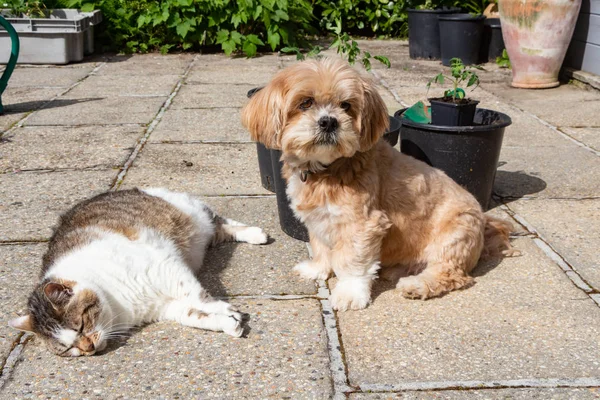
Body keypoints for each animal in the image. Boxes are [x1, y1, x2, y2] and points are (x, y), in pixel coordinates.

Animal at [8, 188, 268, 356]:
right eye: (68, 349)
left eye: (80, 326)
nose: (88, 349)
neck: (116, 304)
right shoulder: (163, 307)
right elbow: (194, 316)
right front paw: (225, 322)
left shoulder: (166, 268)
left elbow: (197, 296)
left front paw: (225, 309)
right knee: (219, 229)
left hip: (193, 216)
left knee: (218, 220)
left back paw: (256, 234)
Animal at [241, 57, 516, 310]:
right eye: (305, 102)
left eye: (346, 105)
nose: (329, 121)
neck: (327, 169)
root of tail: (485, 221)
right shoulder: (320, 220)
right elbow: (321, 249)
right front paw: (317, 269)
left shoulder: (362, 224)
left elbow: (353, 262)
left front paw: (350, 293)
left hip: (454, 235)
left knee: (451, 274)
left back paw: (417, 284)